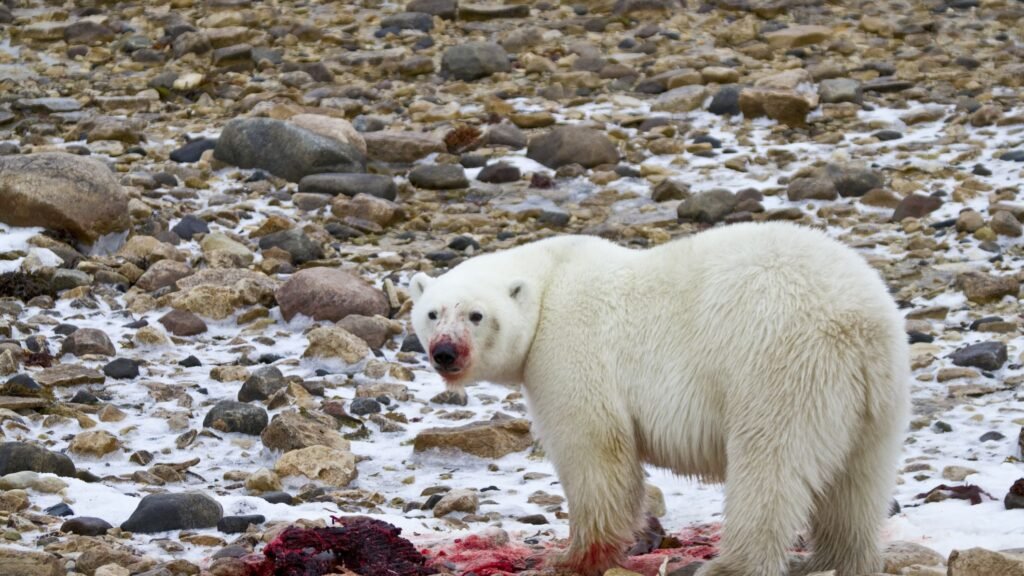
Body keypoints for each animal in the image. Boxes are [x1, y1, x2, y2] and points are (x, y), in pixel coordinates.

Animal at [411, 222, 909, 573]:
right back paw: (835, 560)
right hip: (877, 398)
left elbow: (594, 451)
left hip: (780, 368)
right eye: (432, 312)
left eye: (476, 315)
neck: (552, 277)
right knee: (859, 482)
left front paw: (572, 558)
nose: (445, 352)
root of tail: (857, 324)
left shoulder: (570, 350)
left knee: (770, 467)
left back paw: (731, 565)